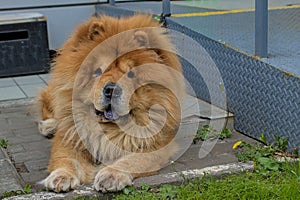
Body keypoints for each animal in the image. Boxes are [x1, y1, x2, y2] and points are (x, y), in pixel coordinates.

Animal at [36, 13, 184, 192]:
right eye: (98, 71)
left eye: (131, 74)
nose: (111, 89)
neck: (108, 128)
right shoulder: (70, 137)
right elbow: (66, 159)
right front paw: (61, 176)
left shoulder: (157, 144)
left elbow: (133, 160)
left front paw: (111, 175)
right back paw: (49, 126)